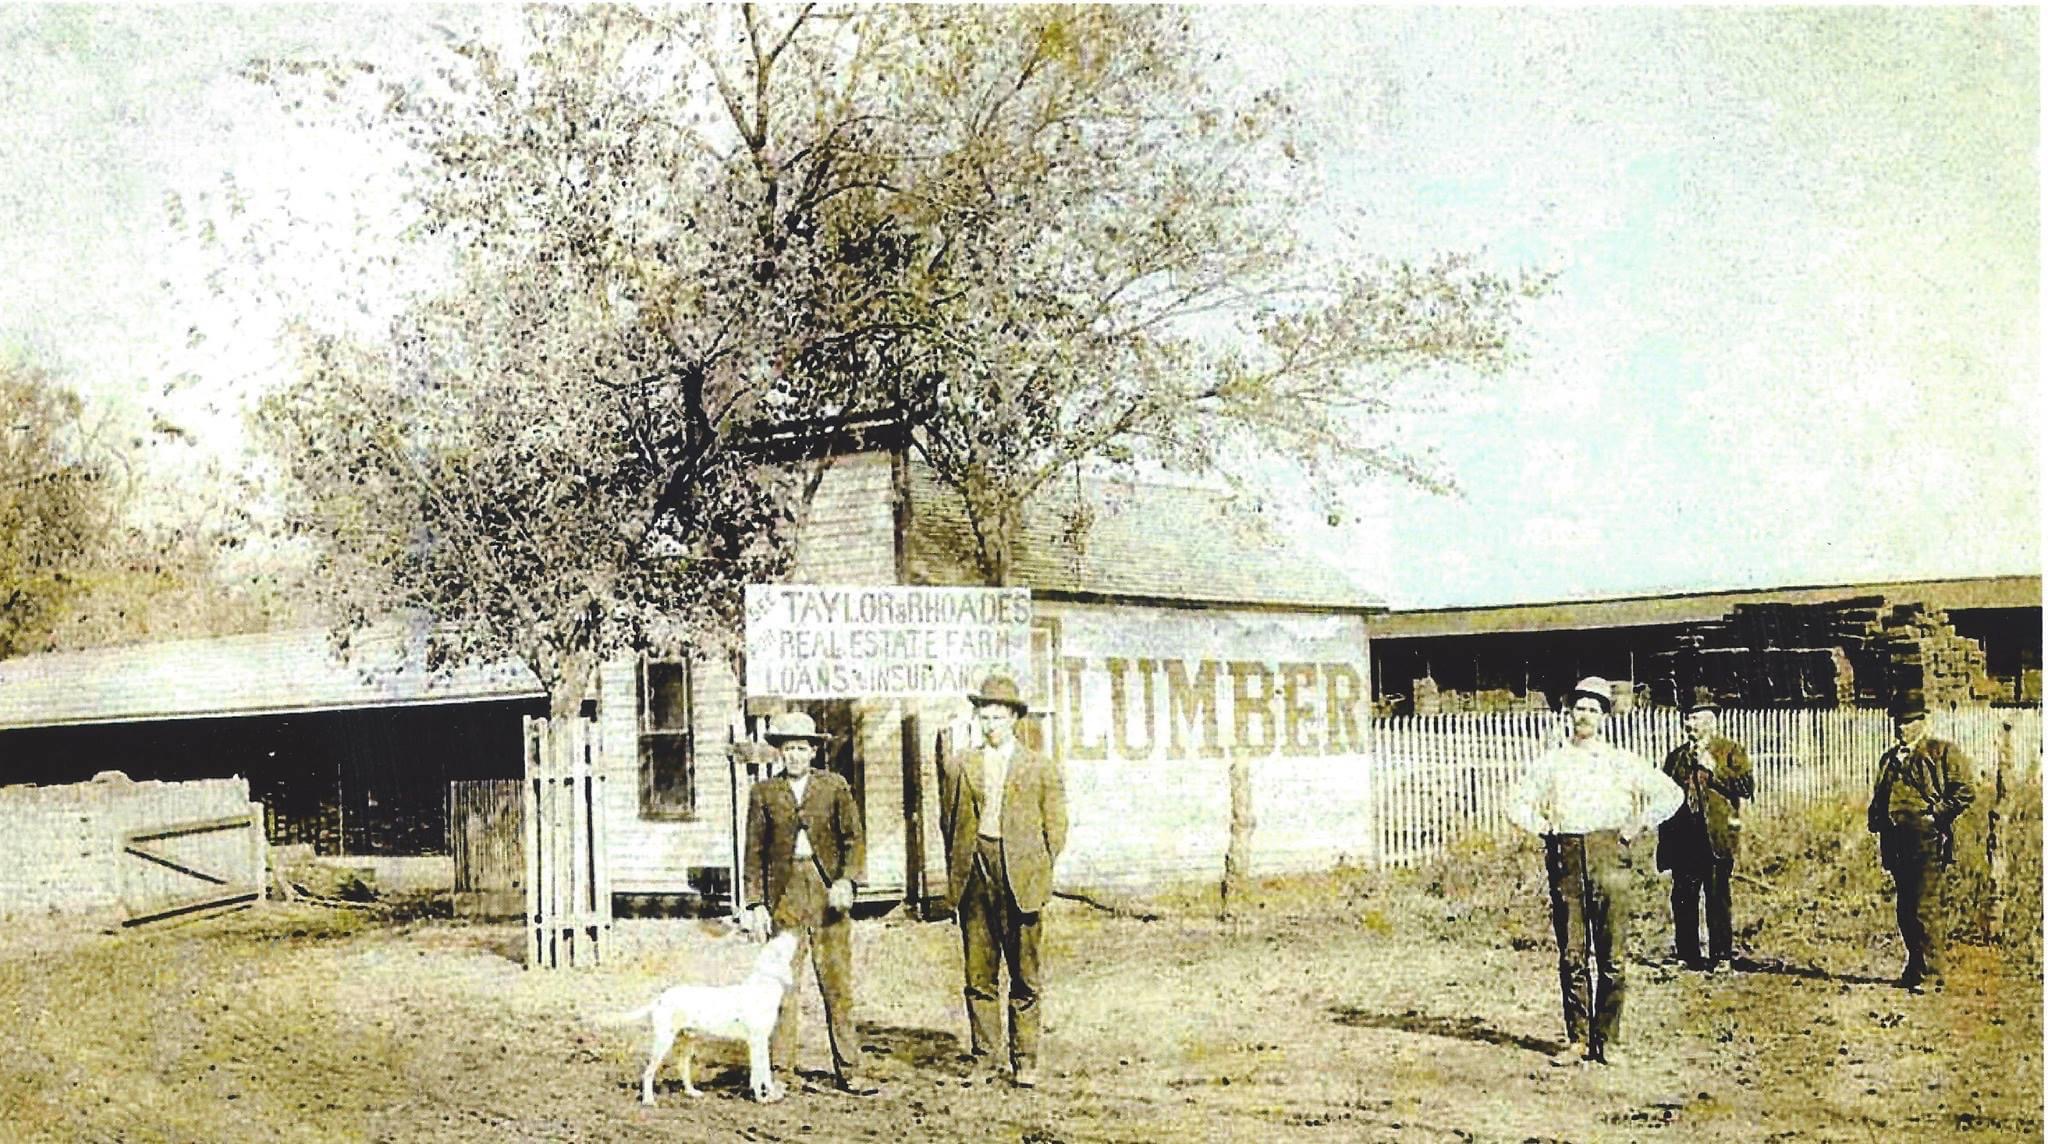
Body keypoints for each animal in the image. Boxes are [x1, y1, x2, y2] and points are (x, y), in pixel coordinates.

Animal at [602, 933, 794, 1113]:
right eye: (778, 945)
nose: (788, 933)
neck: (764, 986)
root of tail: (660, 999)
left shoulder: (761, 1041)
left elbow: (763, 1072)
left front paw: (768, 1095)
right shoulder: (756, 1041)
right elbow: (760, 1073)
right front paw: (763, 1098)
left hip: (688, 1041)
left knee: (682, 1068)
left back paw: (691, 1092)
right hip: (664, 1040)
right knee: (648, 1072)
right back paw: (648, 1100)